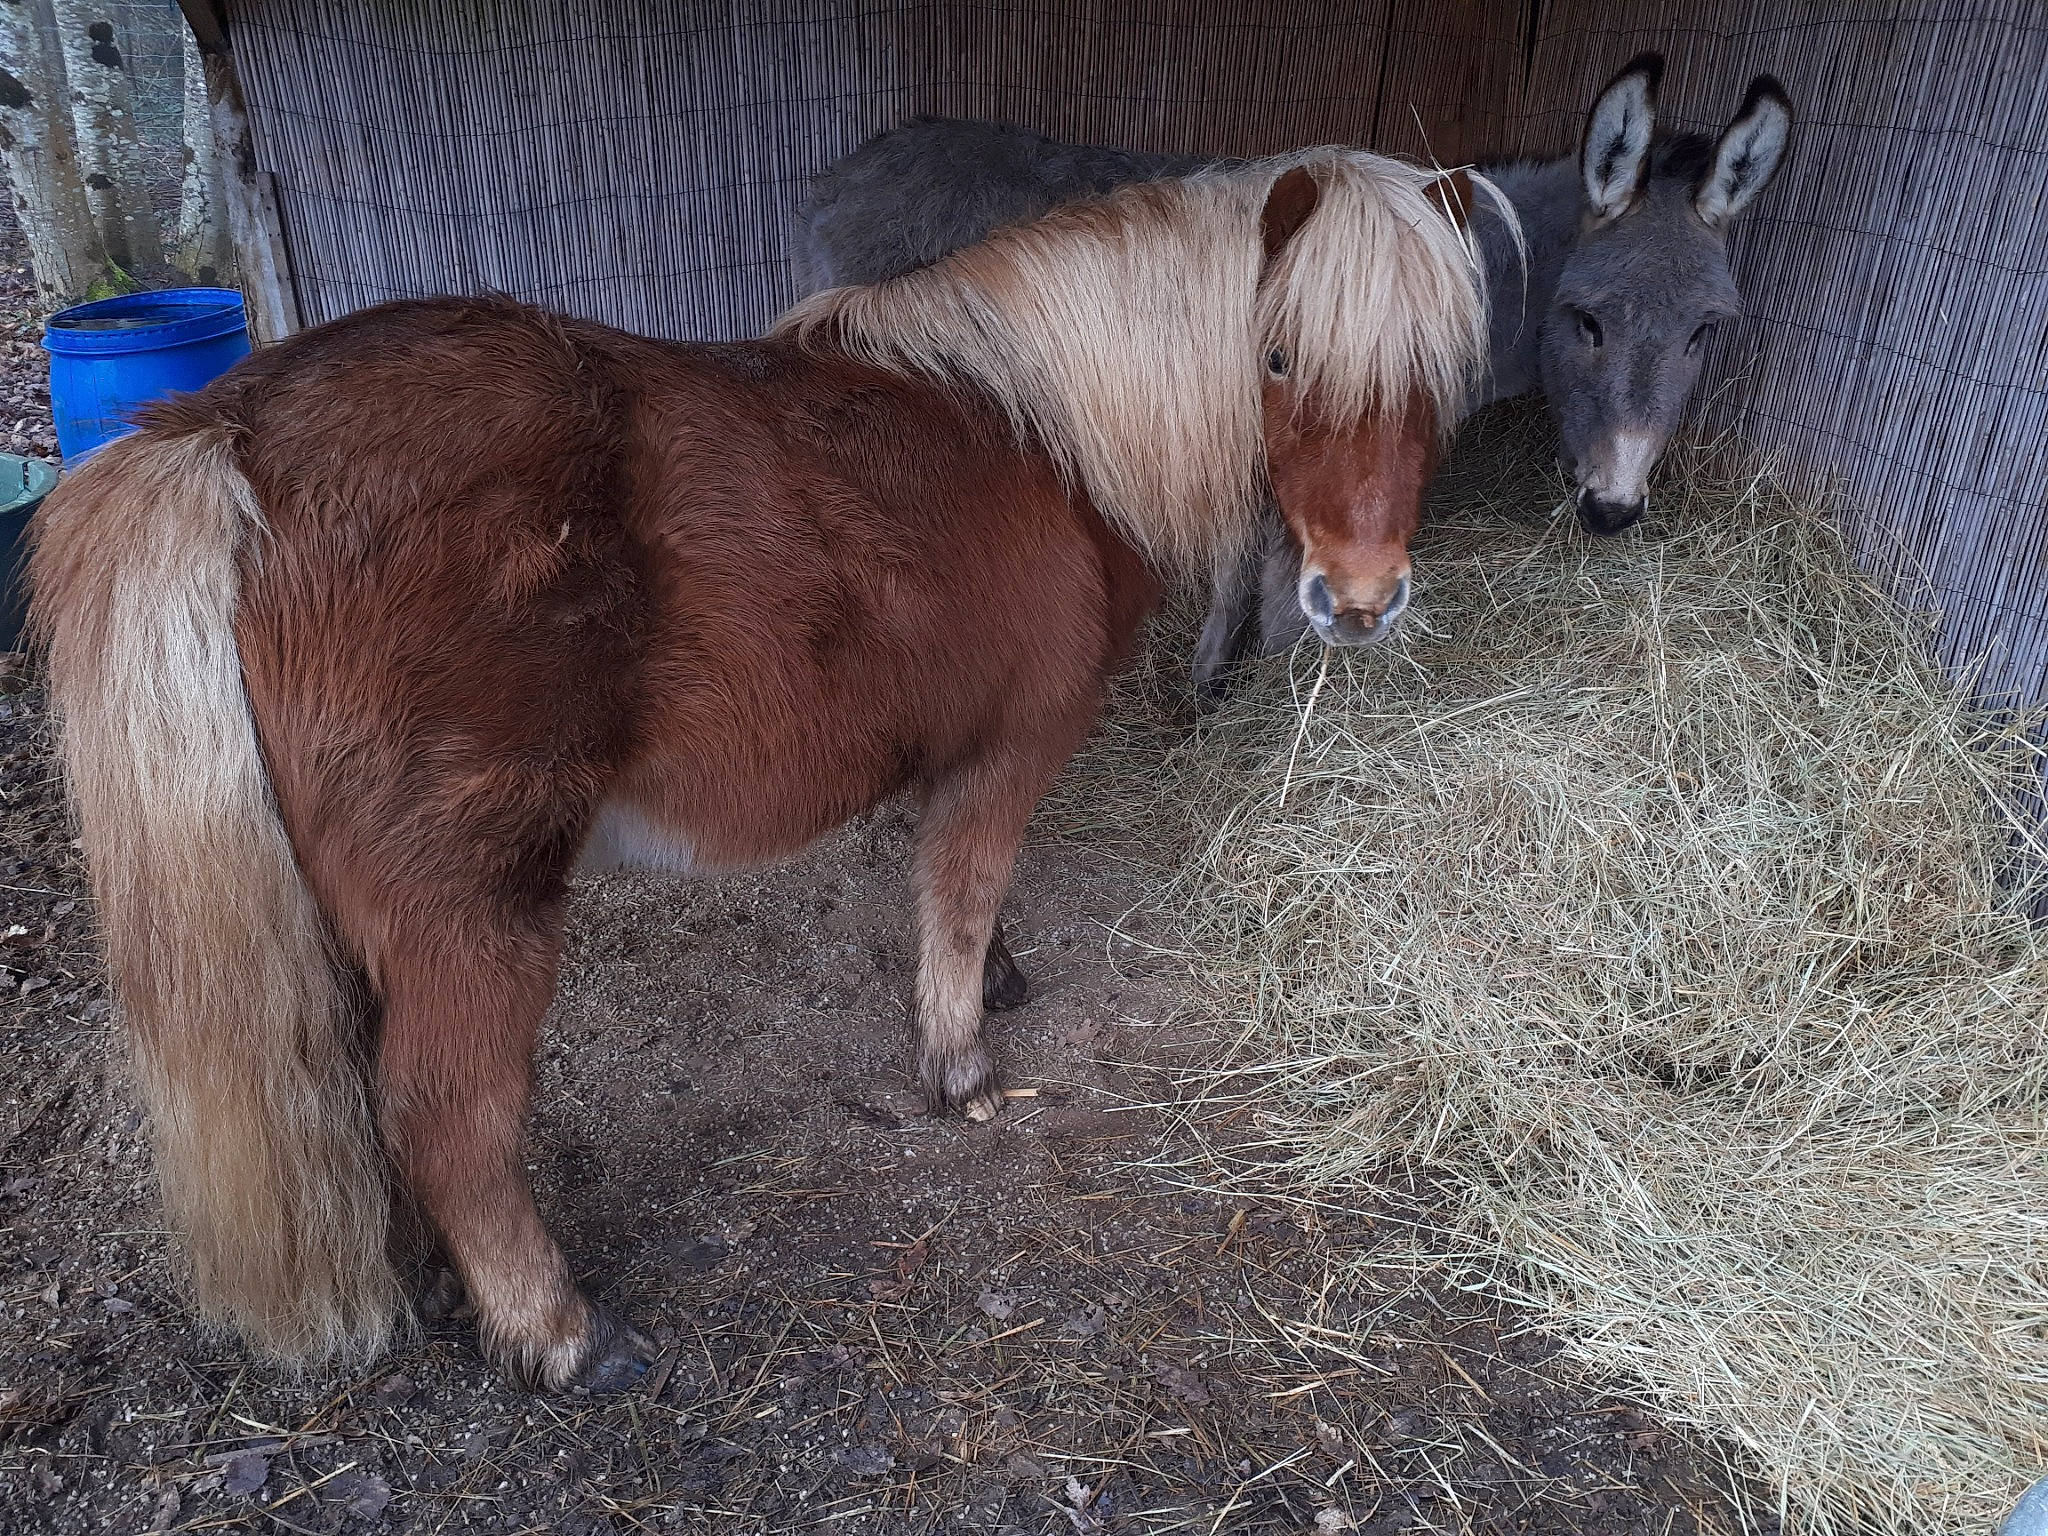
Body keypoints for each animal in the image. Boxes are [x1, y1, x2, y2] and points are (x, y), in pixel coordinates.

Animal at [30, 149, 1491, 1393]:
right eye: (1281, 354)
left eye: (1436, 377)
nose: (1363, 601)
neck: (1045, 436)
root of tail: (228, 430)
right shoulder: (1014, 747)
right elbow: (963, 892)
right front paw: (961, 1064)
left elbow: (959, 892)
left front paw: (999, 982)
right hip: (473, 912)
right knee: (444, 1115)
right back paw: (559, 1334)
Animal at [794, 52, 1794, 700]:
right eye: (1585, 319)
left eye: (1707, 331)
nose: (1613, 510)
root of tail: (851, 168)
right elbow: (1275, 582)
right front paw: (1265, 700)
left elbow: (1250, 569)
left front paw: (1220, 682)